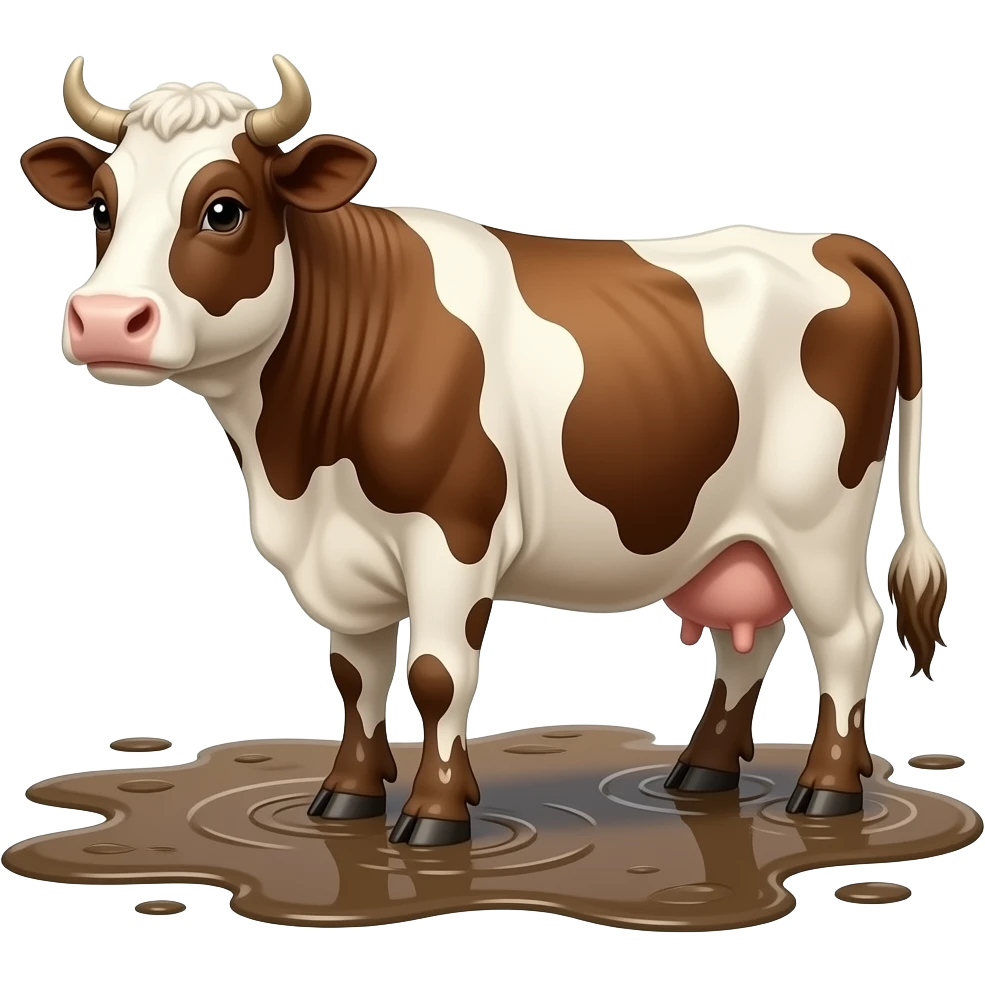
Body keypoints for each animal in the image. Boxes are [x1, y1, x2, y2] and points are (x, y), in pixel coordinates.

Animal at [21, 55, 948, 848]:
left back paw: (826, 789)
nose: (106, 319)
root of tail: (833, 242)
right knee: (747, 639)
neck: (295, 464)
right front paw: (344, 797)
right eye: (101, 205)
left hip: (816, 518)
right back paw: (700, 772)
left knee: (845, 631)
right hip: (736, 533)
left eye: (223, 208)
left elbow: (436, 674)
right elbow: (354, 675)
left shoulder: (452, 533)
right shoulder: (343, 554)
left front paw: (433, 816)